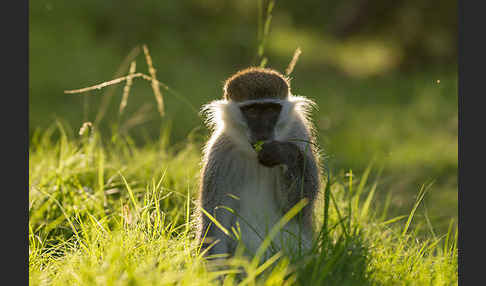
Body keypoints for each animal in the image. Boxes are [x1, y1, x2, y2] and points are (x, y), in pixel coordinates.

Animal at [196, 67, 320, 260]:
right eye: (252, 110)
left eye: (270, 109)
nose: (262, 132)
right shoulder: (220, 151)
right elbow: (215, 223)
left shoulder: (299, 134)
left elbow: (298, 206)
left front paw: (283, 153)